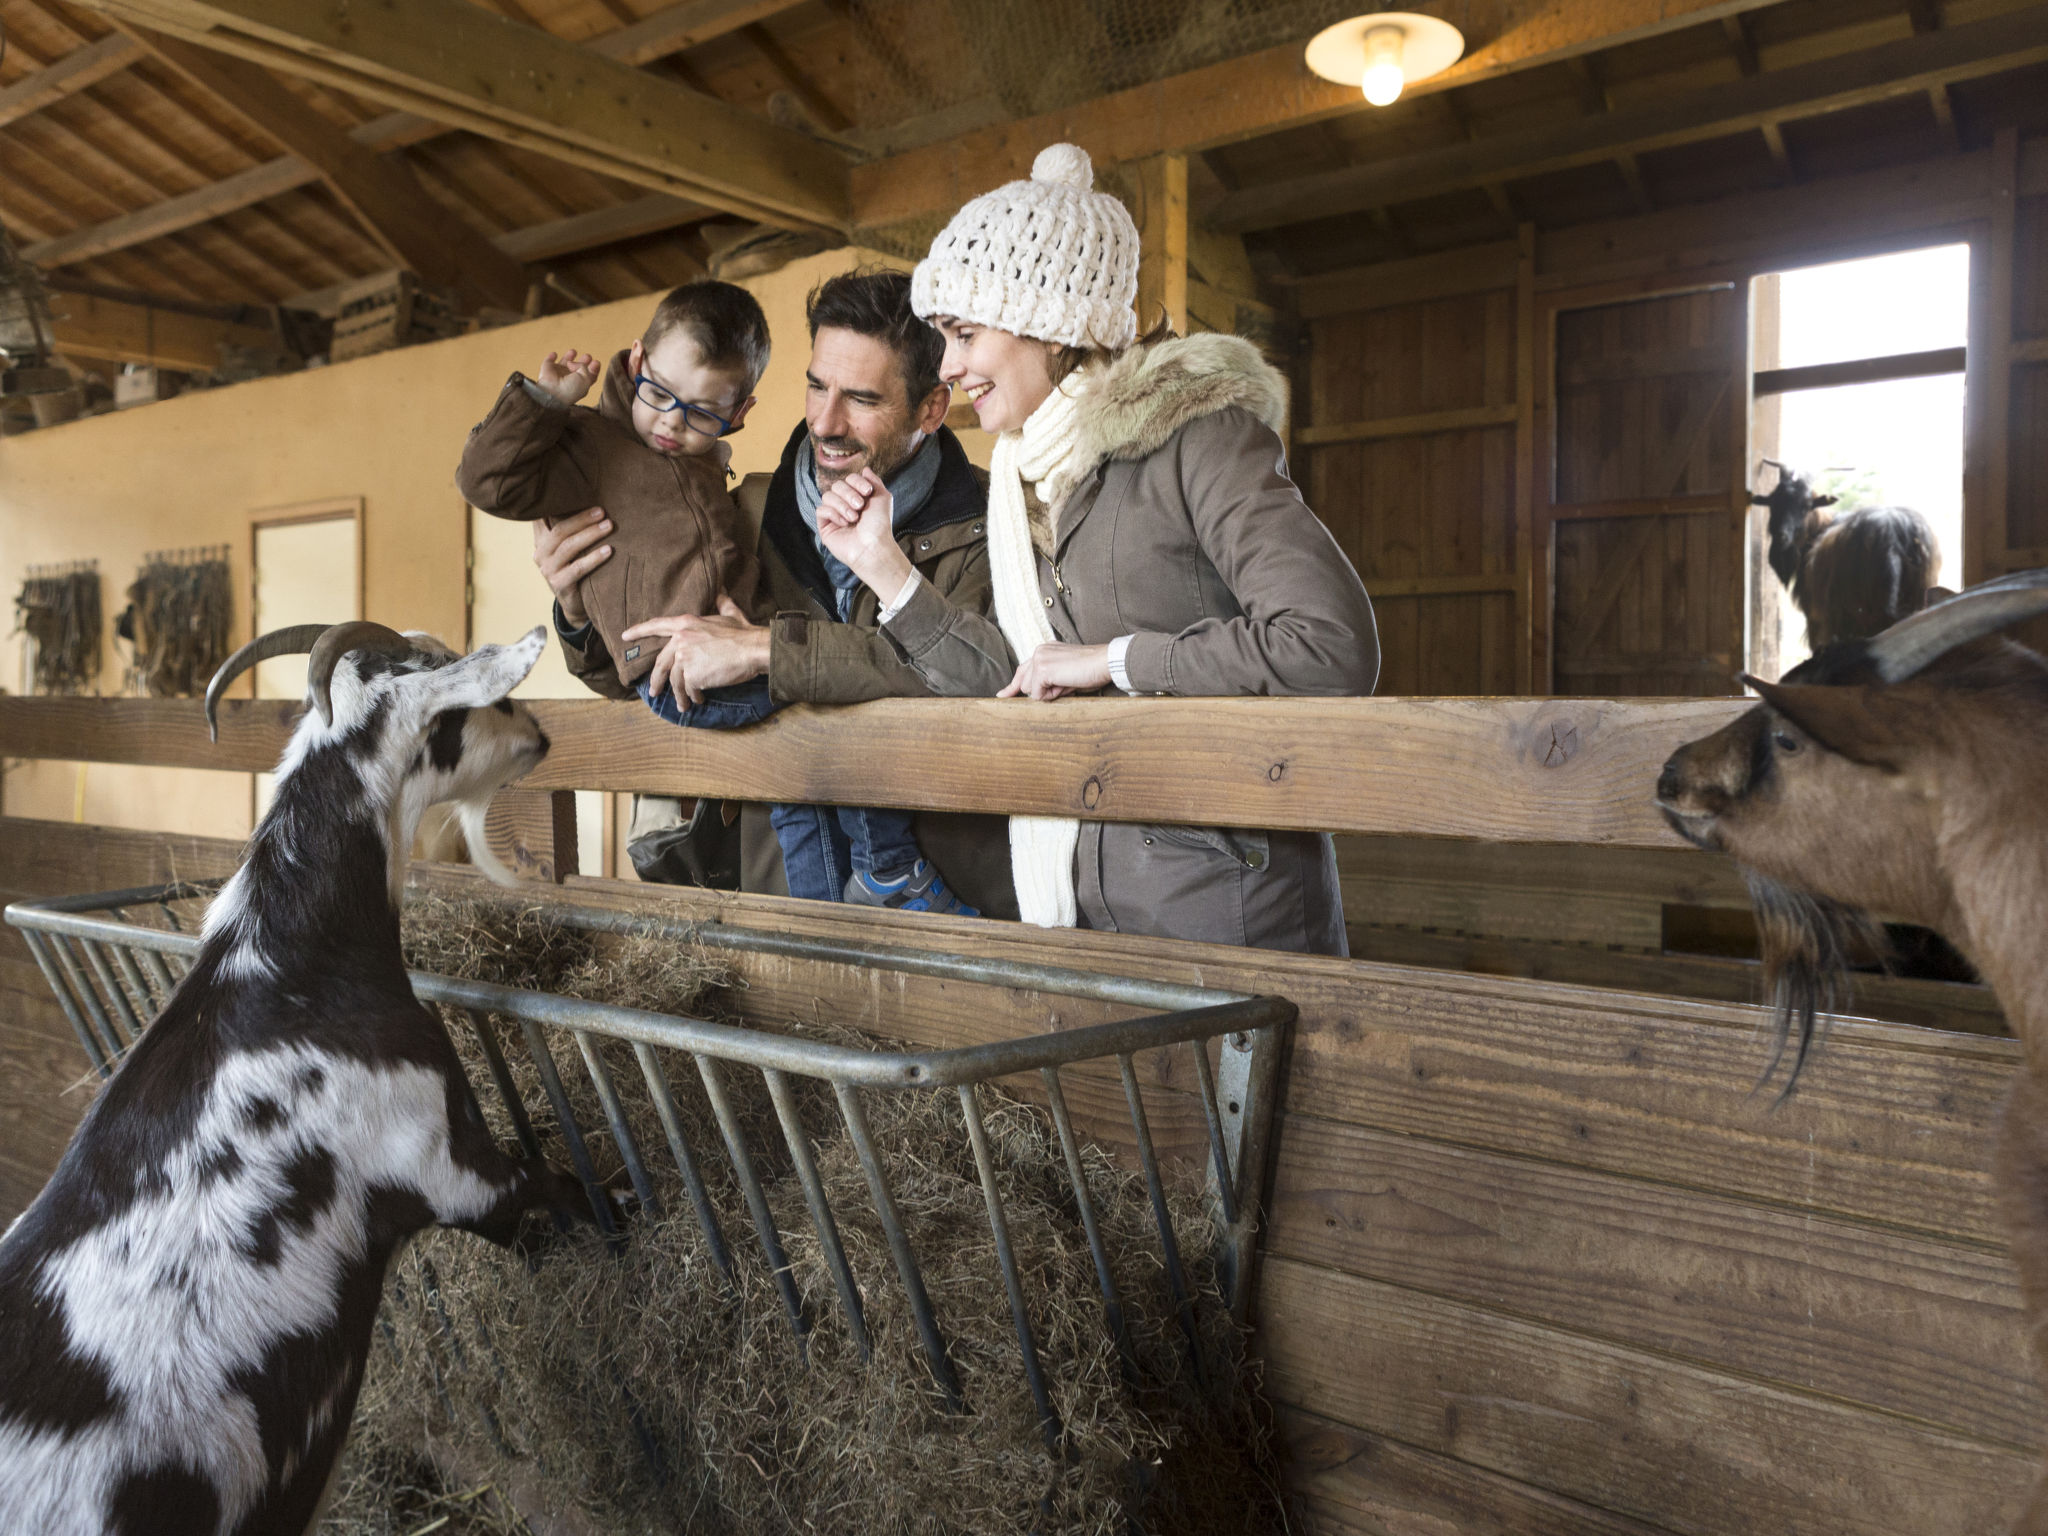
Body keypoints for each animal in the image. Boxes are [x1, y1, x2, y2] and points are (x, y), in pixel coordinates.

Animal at [1753, 456, 1941, 651]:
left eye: (1807, 505)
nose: (1782, 536)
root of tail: (1893, 537)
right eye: (1773, 502)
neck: (1818, 530)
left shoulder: (1816, 619)